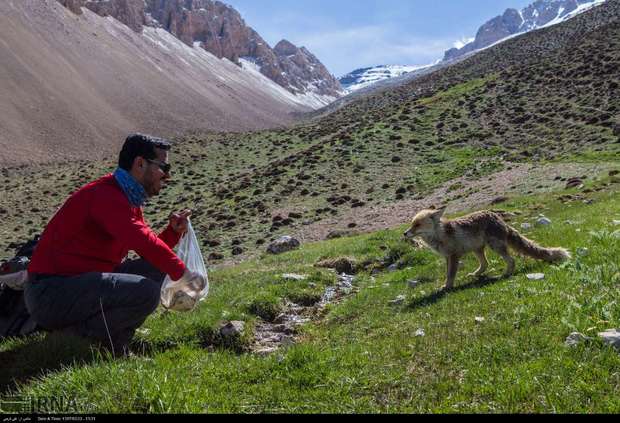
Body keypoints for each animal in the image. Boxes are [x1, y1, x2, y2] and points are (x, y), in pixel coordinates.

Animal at [402, 208, 572, 292]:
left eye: (417, 225)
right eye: (412, 224)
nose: (404, 233)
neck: (440, 234)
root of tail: (498, 217)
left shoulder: (454, 255)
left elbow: (450, 275)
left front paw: (447, 287)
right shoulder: (447, 257)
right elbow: (447, 273)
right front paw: (446, 285)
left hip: (495, 247)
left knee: (511, 260)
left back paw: (505, 274)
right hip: (478, 249)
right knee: (485, 264)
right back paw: (477, 274)